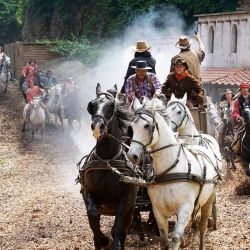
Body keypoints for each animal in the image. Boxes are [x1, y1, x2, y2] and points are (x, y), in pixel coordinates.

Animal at [78, 83, 137, 249]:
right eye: (92, 105)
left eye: (111, 105)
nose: (98, 126)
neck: (107, 161)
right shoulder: (89, 193)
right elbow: (92, 217)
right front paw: (104, 240)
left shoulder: (125, 200)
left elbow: (117, 229)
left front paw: (112, 242)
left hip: (131, 209)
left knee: (124, 230)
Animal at [128, 97, 220, 250]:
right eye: (131, 127)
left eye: (147, 125)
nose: (132, 155)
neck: (170, 168)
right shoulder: (158, 211)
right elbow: (164, 241)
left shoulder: (185, 208)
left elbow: (176, 237)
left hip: (209, 198)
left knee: (203, 224)